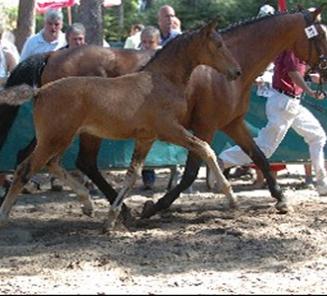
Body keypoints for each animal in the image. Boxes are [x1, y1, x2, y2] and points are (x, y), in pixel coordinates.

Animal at [0, 21, 241, 229]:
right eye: (219, 44)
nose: (237, 71)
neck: (161, 81)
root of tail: (39, 91)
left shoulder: (146, 138)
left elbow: (132, 175)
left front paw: (111, 219)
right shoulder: (169, 129)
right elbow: (205, 148)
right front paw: (231, 198)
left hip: (62, 138)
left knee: (52, 163)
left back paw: (87, 203)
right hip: (55, 138)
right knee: (26, 168)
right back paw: (4, 215)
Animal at [142, 4, 327, 217]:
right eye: (322, 35)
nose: (325, 71)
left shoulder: (233, 124)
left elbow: (259, 156)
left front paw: (280, 198)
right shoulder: (205, 128)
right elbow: (190, 172)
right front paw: (154, 206)